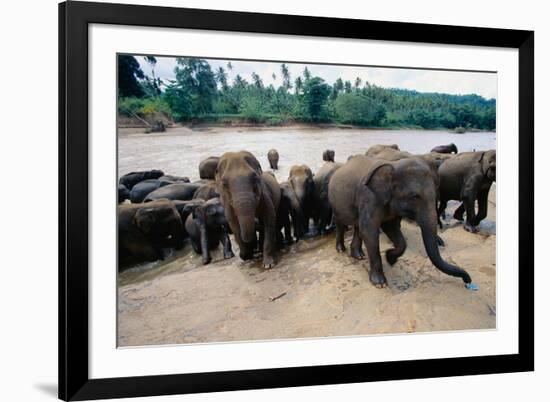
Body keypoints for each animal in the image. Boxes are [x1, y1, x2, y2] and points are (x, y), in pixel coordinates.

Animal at [330, 155, 472, 288]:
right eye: (414, 197)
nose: (468, 281)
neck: (393, 165)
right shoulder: (369, 197)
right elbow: (369, 231)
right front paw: (380, 283)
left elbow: (391, 228)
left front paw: (390, 258)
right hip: (335, 203)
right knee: (341, 224)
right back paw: (341, 249)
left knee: (357, 226)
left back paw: (358, 256)